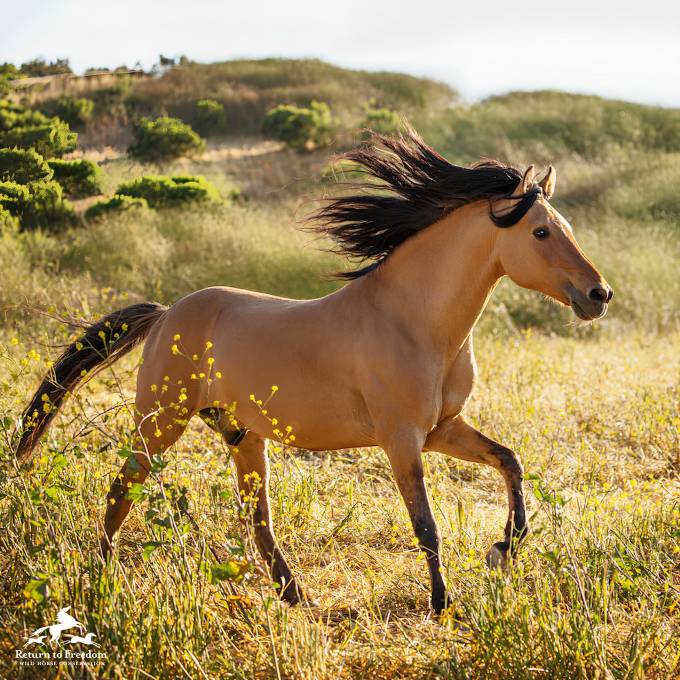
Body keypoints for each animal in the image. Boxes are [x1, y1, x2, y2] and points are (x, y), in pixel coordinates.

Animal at [15, 129, 612, 614]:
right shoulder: (401, 440)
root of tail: (166, 315)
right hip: (162, 424)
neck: (414, 320)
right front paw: (443, 603)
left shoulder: (442, 429)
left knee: (256, 520)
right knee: (122, 489)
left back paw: (295, 595)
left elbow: (510, 463)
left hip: (243, 436)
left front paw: (501, 551)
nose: (598, 295)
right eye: (540, 233)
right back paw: (102, 577)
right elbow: (427, 526)